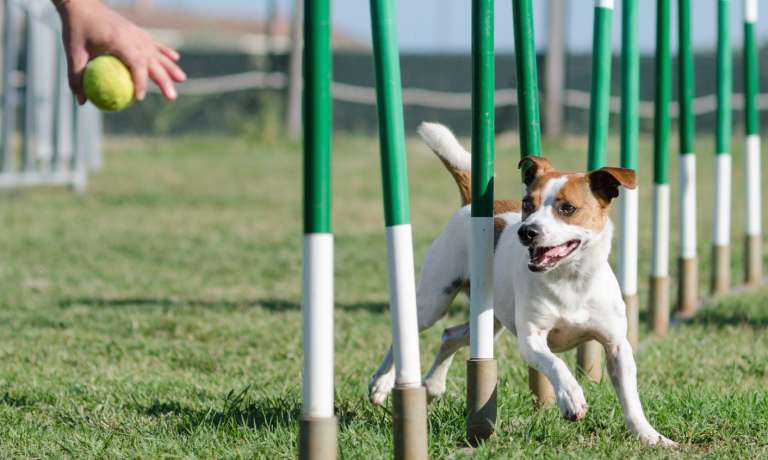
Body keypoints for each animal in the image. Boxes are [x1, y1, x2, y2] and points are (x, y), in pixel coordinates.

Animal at [368, 122, 676, 446]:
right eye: (528, 203)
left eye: (567, 208)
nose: (526, 231)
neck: (569, 279)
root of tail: (470, 204)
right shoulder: (531, 339)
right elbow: (556, 364)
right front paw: (571, 397)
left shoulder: (616, 345)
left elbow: (630, 397)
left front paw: (650, 436)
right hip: (435, 299)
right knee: (408, 331)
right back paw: (381, 383)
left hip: (489, 321)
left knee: (450, 334)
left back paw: (433, 384)